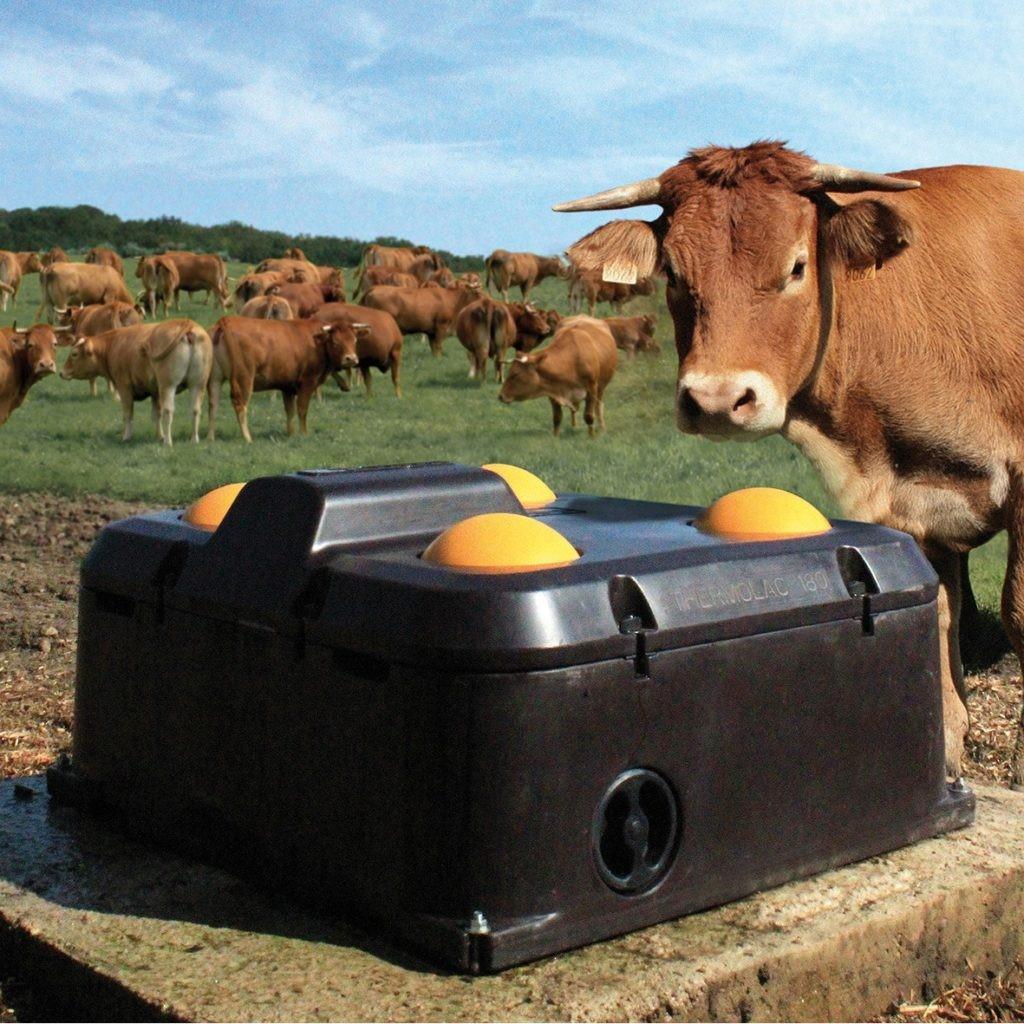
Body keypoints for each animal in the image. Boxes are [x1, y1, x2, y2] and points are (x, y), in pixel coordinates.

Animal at [60, 319, 211, 444]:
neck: (114, 344)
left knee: (169, 411)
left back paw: (168, 442)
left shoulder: (124, 388)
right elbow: (156, 414)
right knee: (195, 410)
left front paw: (126, 437)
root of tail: (187, 323)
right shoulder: (155, 392)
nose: (61, 372)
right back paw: (194, 439)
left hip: (168, 386)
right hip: (198, 385)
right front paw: (159, 436)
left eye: (74, 354)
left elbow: (128, 414)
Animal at [206, 311, 368, 440]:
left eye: (354, 340)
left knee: (213, 404)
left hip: (215, 379)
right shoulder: (307, 383)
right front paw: (304, 434)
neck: (317, 341)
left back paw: (210, 437)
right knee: (240, 406)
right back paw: (247, 438)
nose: (351, 359)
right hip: (243, 378)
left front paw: (290, 433)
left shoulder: (287, 387)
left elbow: (290, 411)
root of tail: (225, 322)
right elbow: (302, 409)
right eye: (335, 342)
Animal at [552, 136, 1024, 774]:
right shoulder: (910, 500)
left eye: (797, 266)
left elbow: (1019, 613)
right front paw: (944, 755)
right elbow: (939, 611)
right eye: (672, 272)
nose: (716, 400)